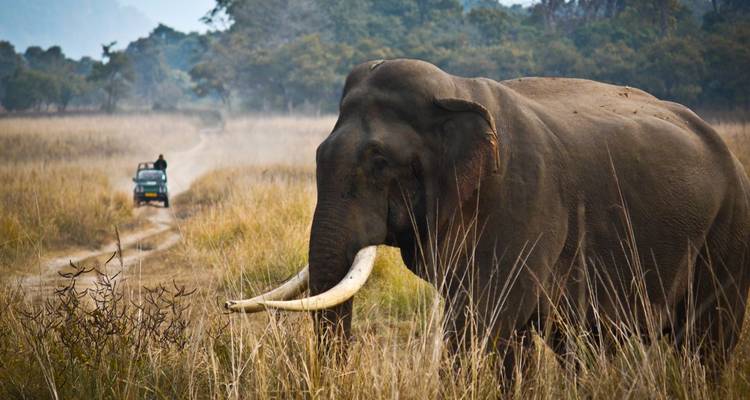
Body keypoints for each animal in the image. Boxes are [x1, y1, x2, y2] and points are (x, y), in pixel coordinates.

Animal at [226, 59, 750, 375]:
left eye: (378, 161)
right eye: (318, 155)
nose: (228, 306)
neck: (456, 93)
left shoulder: (523, 199)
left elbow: (483, 320)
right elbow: (507, 334)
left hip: (729, 231)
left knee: (707, 341)